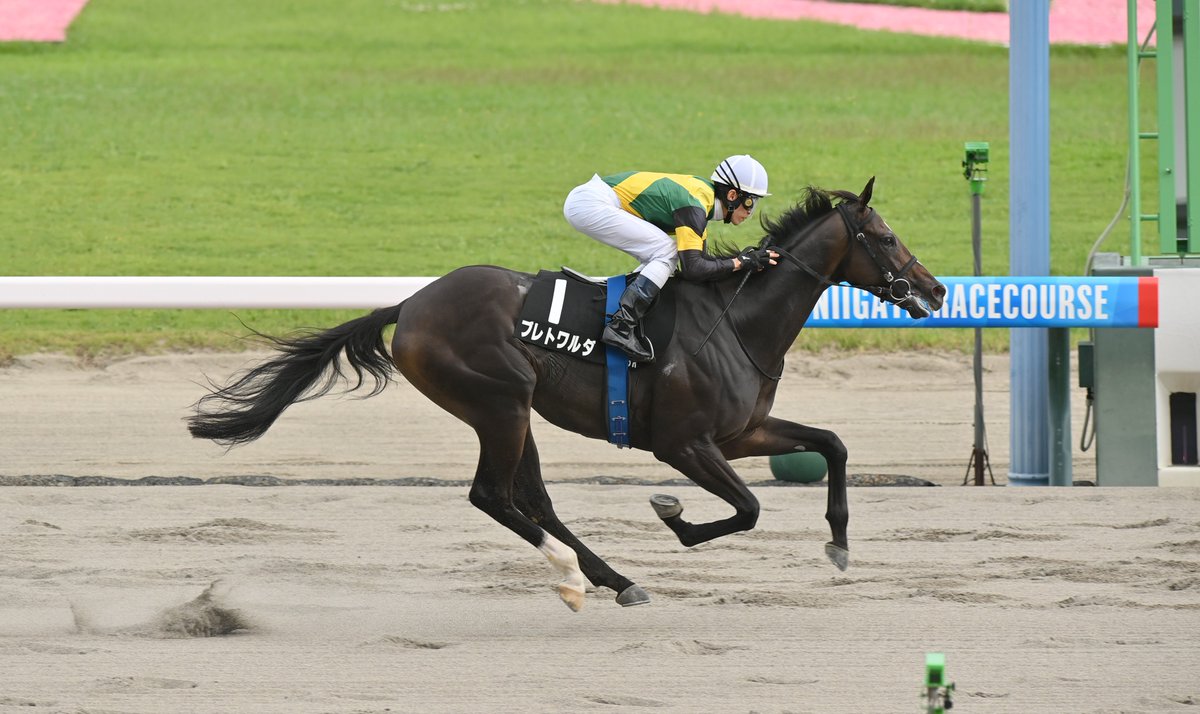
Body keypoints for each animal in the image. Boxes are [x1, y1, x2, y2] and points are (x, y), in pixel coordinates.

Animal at [188, 177, 946, 612]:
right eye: (884, 237)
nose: (936, 290)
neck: (738, 320)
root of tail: (413, 303)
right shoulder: (684, 443)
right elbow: (749, 508)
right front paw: (675, 517)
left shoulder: (740, 433)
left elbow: (832, 444)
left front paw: (839, 543)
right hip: (500, 400)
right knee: (493, 496)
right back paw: (575, 576)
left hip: (511, 411)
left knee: (532, 499)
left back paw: (612, 578)